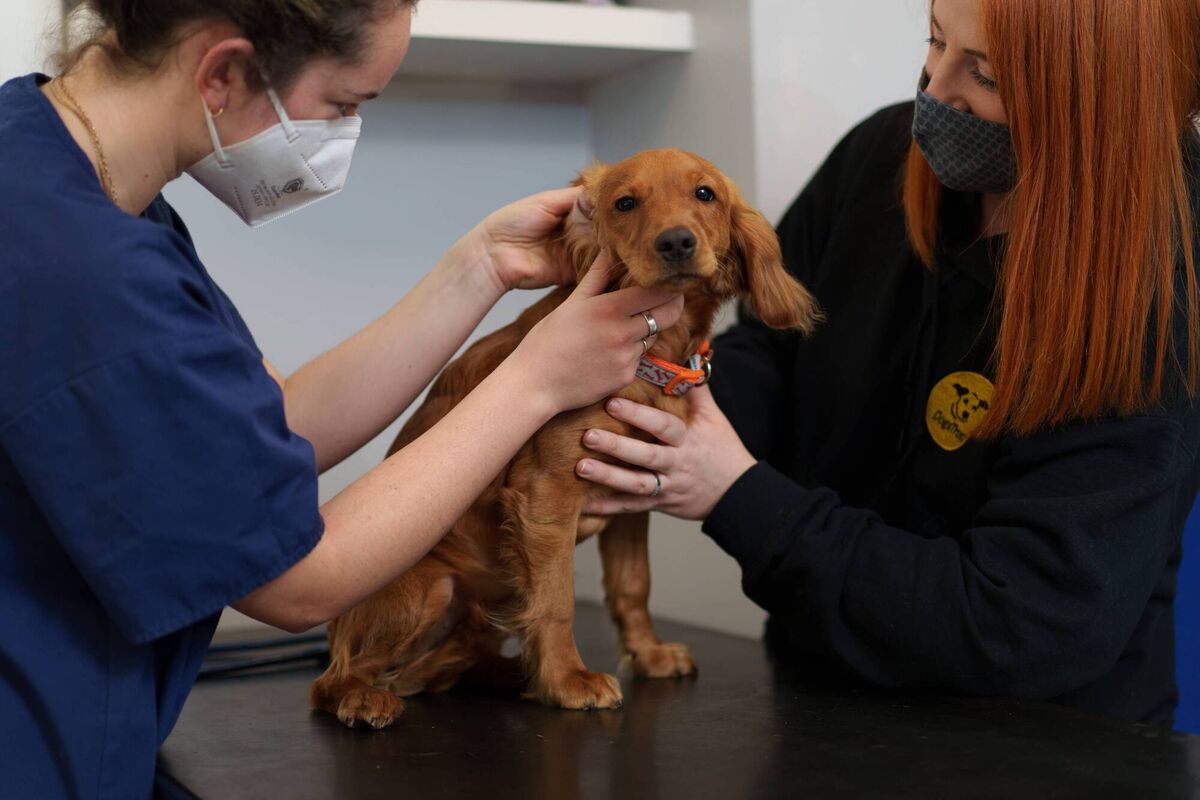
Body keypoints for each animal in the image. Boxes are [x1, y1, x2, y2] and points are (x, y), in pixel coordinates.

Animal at [310, 149, 821, 728]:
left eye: (705, 194)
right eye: (625, 203)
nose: (676, 242)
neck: (652, 350)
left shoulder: (633, 493)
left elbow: (633, 586)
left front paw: (647, 654)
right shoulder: (545, 492)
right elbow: (556, 602)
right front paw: (566, 681)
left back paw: (504, 674)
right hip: (430, 587)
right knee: (334, 679)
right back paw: (363, 696)